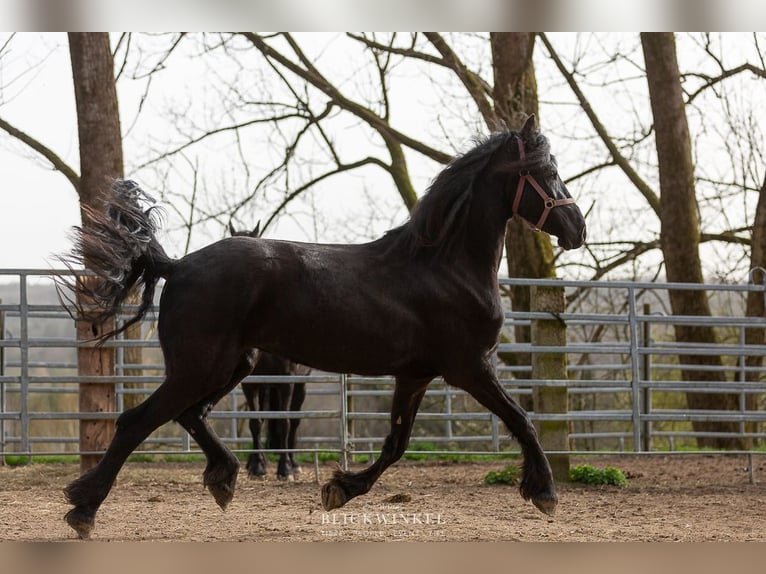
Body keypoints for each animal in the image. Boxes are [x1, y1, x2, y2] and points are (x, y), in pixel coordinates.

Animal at [229, 223, 309, 481]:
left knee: (294, 420)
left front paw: (285, 469)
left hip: (300, 383)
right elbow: (256, 422)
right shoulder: (251, 383)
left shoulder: (286, 381)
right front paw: (257, 466)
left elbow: (284, 423)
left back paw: (294, 462)